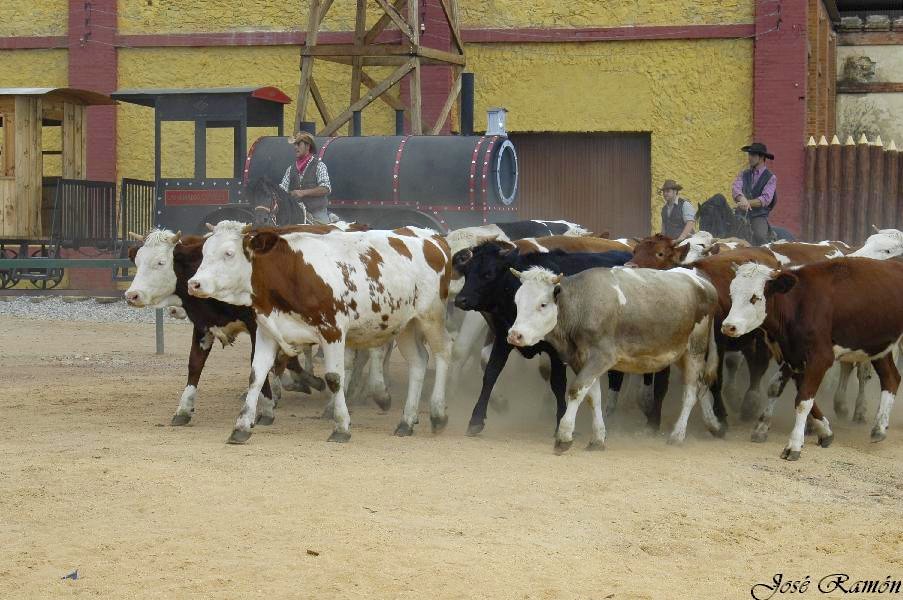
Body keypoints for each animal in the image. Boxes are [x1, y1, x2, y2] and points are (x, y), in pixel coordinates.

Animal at [186, 220, 452, 440]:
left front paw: (341, 426)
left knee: (442, 353)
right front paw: (241, 426)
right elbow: (256, 376)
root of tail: (433, 238)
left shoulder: (332, 331)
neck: (291, 272)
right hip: (406, 324)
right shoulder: (267, 331)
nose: (193, 283)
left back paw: (438, 413)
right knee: (418, 362)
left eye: (229, 253)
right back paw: (406, 421)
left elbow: (334, 378)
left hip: (431, 317)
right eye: (204, 253)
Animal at [724, 258, 903, 460]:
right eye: (732, 295)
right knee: (891, 378)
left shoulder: (820, 358)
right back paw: (879, 428)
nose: (728, 326)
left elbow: (803, 401)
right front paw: (825, 431)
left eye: (755, 297)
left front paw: (794, 444)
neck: (798, 304)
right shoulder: (793, 358)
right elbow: (789, 391)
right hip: (879, 347)